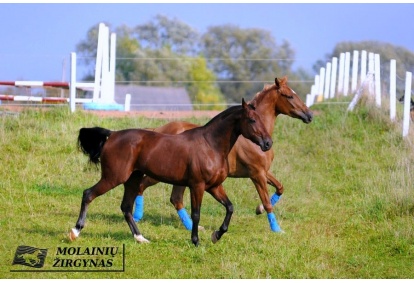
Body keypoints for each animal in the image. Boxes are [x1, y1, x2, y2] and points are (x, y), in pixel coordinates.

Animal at [69, 99, 274, 246]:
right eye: (252, 120)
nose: (267, 143)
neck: (210, 145)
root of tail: (112, 135)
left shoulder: (214, 186)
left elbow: (230, 207)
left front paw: (216, 235)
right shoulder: (197, 186)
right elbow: (196, 213)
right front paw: (196, 241)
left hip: (132, 179)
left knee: (126, 207)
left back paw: (141, 238)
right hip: (113, 177)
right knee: (88, 194)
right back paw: (75, 231)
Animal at [133, 77, 314, 233]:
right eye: (290, 95)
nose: (310, 115)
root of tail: (158, 130)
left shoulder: (263, 171)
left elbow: (280, 187)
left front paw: (259, 209)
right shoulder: (257, 174)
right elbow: (267, 201)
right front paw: (276, 228)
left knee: (175, 199)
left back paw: (193, 227)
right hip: (160, 174)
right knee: (143, 186)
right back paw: (137, 217)